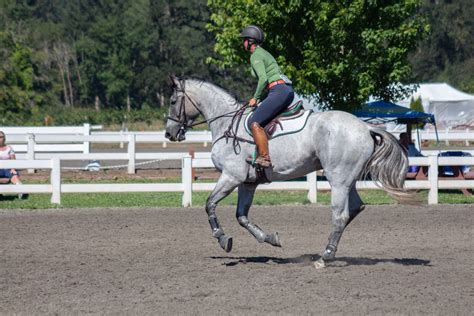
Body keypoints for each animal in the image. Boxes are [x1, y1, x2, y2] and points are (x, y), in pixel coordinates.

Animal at [166, 75, 408, 268]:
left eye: (172, 101)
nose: (170, 133)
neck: (226, 122)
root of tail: (365, 126)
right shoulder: (247, 183)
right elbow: (242, 217)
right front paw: (271, 238)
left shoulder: (231, 176)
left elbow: (210, 204)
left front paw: (222, 238)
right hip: (348, 180)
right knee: (355, 208)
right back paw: (328, 250)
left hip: (338, 180)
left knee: (340, 216)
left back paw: (325, 256)